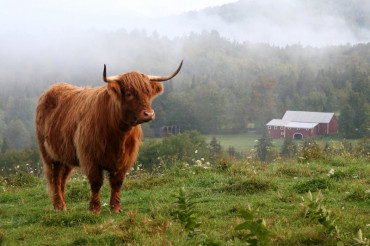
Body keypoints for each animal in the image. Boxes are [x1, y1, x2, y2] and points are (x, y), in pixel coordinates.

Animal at [35, 60, 183, 212]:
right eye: (129, 94)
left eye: (148, 92)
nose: (149, 114)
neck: (118, 134)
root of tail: (54, 87)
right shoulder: (90, 157)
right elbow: (96, 182)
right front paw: (94, 209)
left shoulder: (125, 159)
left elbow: (117, 182)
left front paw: (116, 207)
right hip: (48, 154)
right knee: (55, 177)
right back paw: (59, 205)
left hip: (65, 154)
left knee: (62, 178)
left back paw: (63, 205)